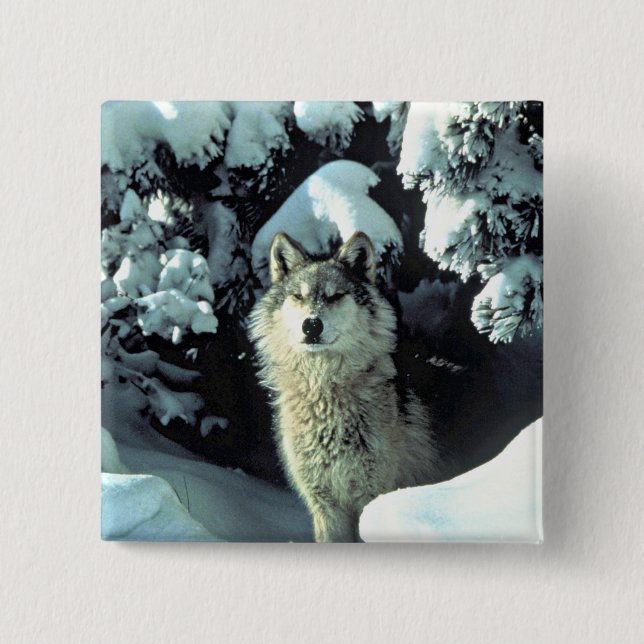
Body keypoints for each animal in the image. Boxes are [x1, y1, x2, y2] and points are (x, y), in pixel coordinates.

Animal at [248, 231, 440, 542]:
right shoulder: (325, 505)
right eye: (298, 296)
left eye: (335, 296)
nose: (311, 325)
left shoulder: (372, 496)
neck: (324, 393)